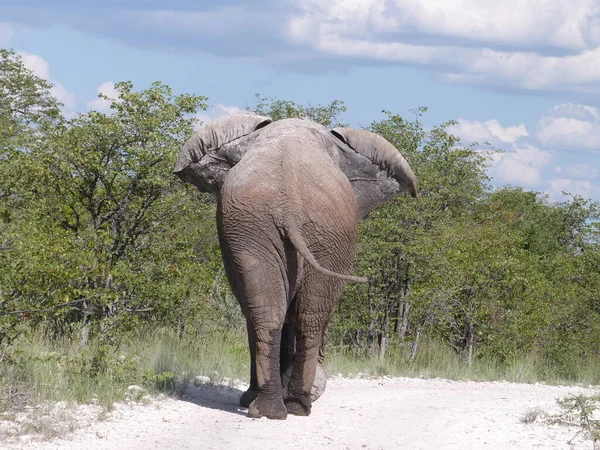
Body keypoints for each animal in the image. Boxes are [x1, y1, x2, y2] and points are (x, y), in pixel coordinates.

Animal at [175, 114, 418, 420]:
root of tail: (289, 203)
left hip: (283, 229)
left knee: (274, 314)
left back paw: (274, 408)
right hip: (291, 229)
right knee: (302, 317)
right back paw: (292, 406)